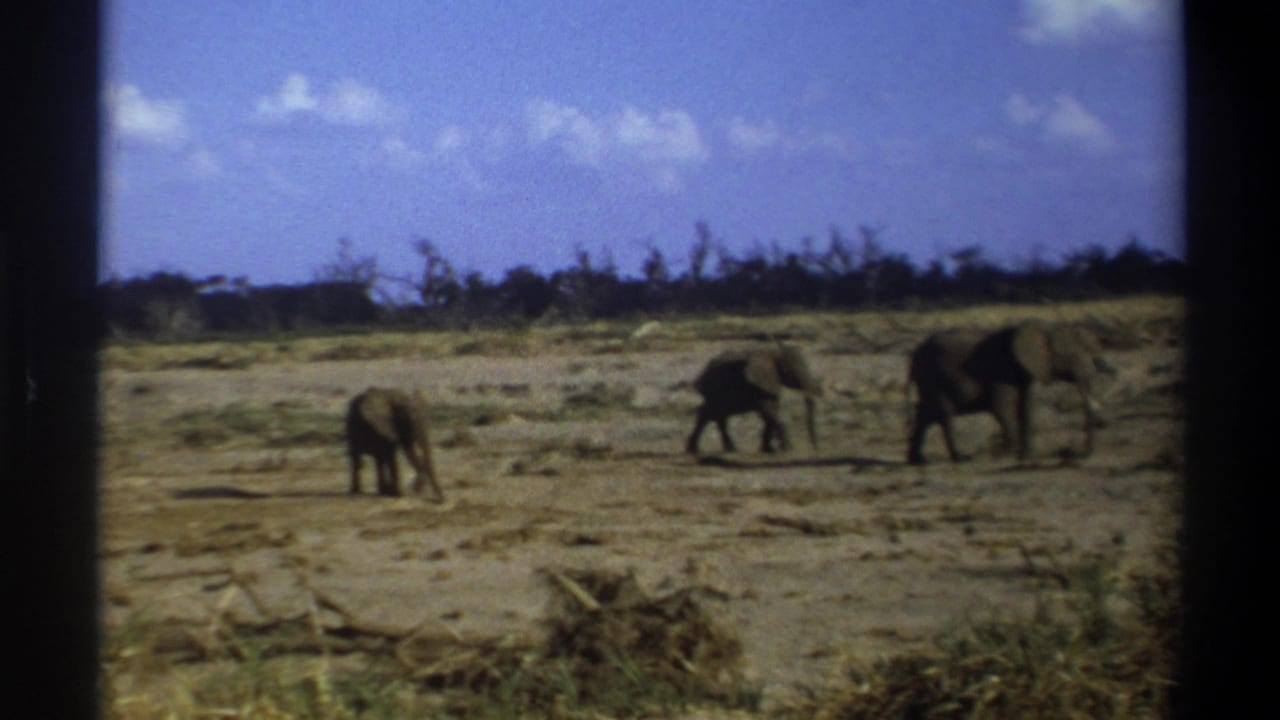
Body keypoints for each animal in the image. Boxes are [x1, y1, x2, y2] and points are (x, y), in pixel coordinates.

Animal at [686, 343, 823, 454]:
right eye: (793, 372)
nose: (816, 449)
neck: (773, 352)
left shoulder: (769, 384)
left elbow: (769, 414)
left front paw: (768, 450)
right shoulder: (756, 386)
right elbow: (769, 412)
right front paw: (787, 449)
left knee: (711, 415)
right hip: (714, 390)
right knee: (711, 414)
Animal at [905, 321, 1112, 465]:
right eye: (1071, 356)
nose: (1077, 454)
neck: (1042, 329)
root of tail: (914, 355)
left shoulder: (1026, 372)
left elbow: (1025, 408)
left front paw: (1026, 457)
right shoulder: (1001, 371)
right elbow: (1002, 408)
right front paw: (1008, 455)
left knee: (926, 415)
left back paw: (918, 460)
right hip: (934, 378)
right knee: (944, 414)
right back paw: (961, 458)